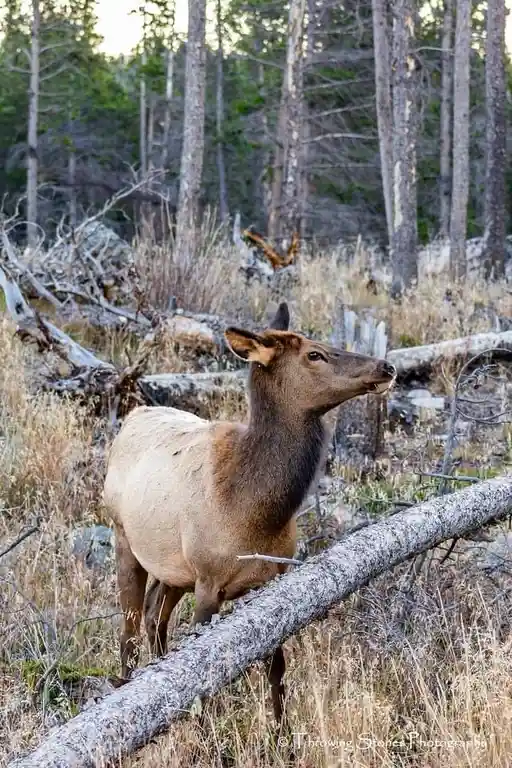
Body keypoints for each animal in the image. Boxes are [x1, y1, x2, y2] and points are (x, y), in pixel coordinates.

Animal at [102, 301, 396, 726]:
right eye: (314, 354)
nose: (386, 367)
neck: (255, 512)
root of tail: (133, 417)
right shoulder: (208, 580)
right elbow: (202, 672)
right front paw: (206, 732)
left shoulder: (272, 577)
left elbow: (277, 670)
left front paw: (282, 732)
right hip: (124, 537)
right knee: (129, 630)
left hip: (175, 568)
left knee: (156, 614)